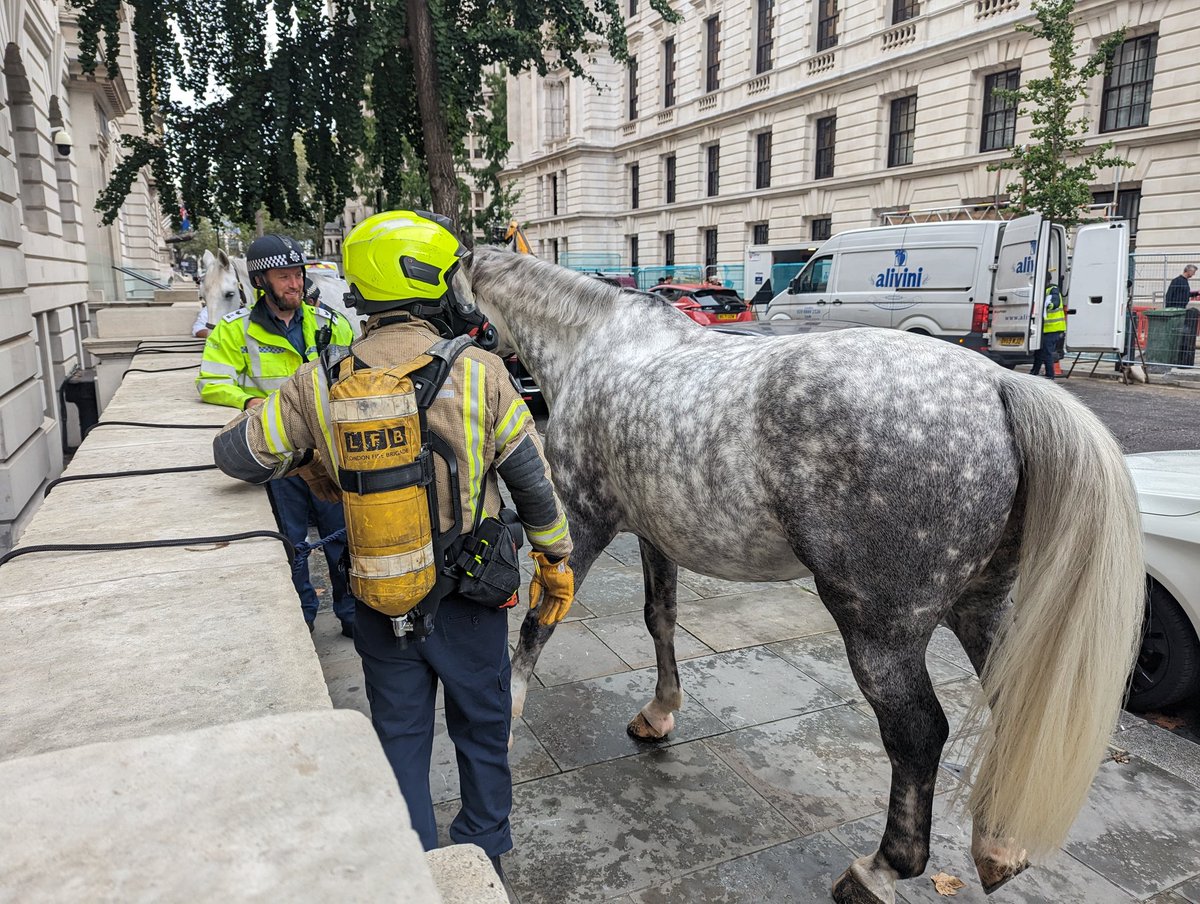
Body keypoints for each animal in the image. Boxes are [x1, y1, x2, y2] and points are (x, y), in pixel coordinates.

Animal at [463, 246, 1144, 904]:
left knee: (919, 736)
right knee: (1012, 701)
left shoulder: (581, 519)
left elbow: (538, 621)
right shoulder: (655, 535)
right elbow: (661, 619)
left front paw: (508, 710)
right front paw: (660, 712)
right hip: (982, 603)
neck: (597, 342)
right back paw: (999, 848)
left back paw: (881, 870)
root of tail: (1001, 387)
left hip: (880, 629)